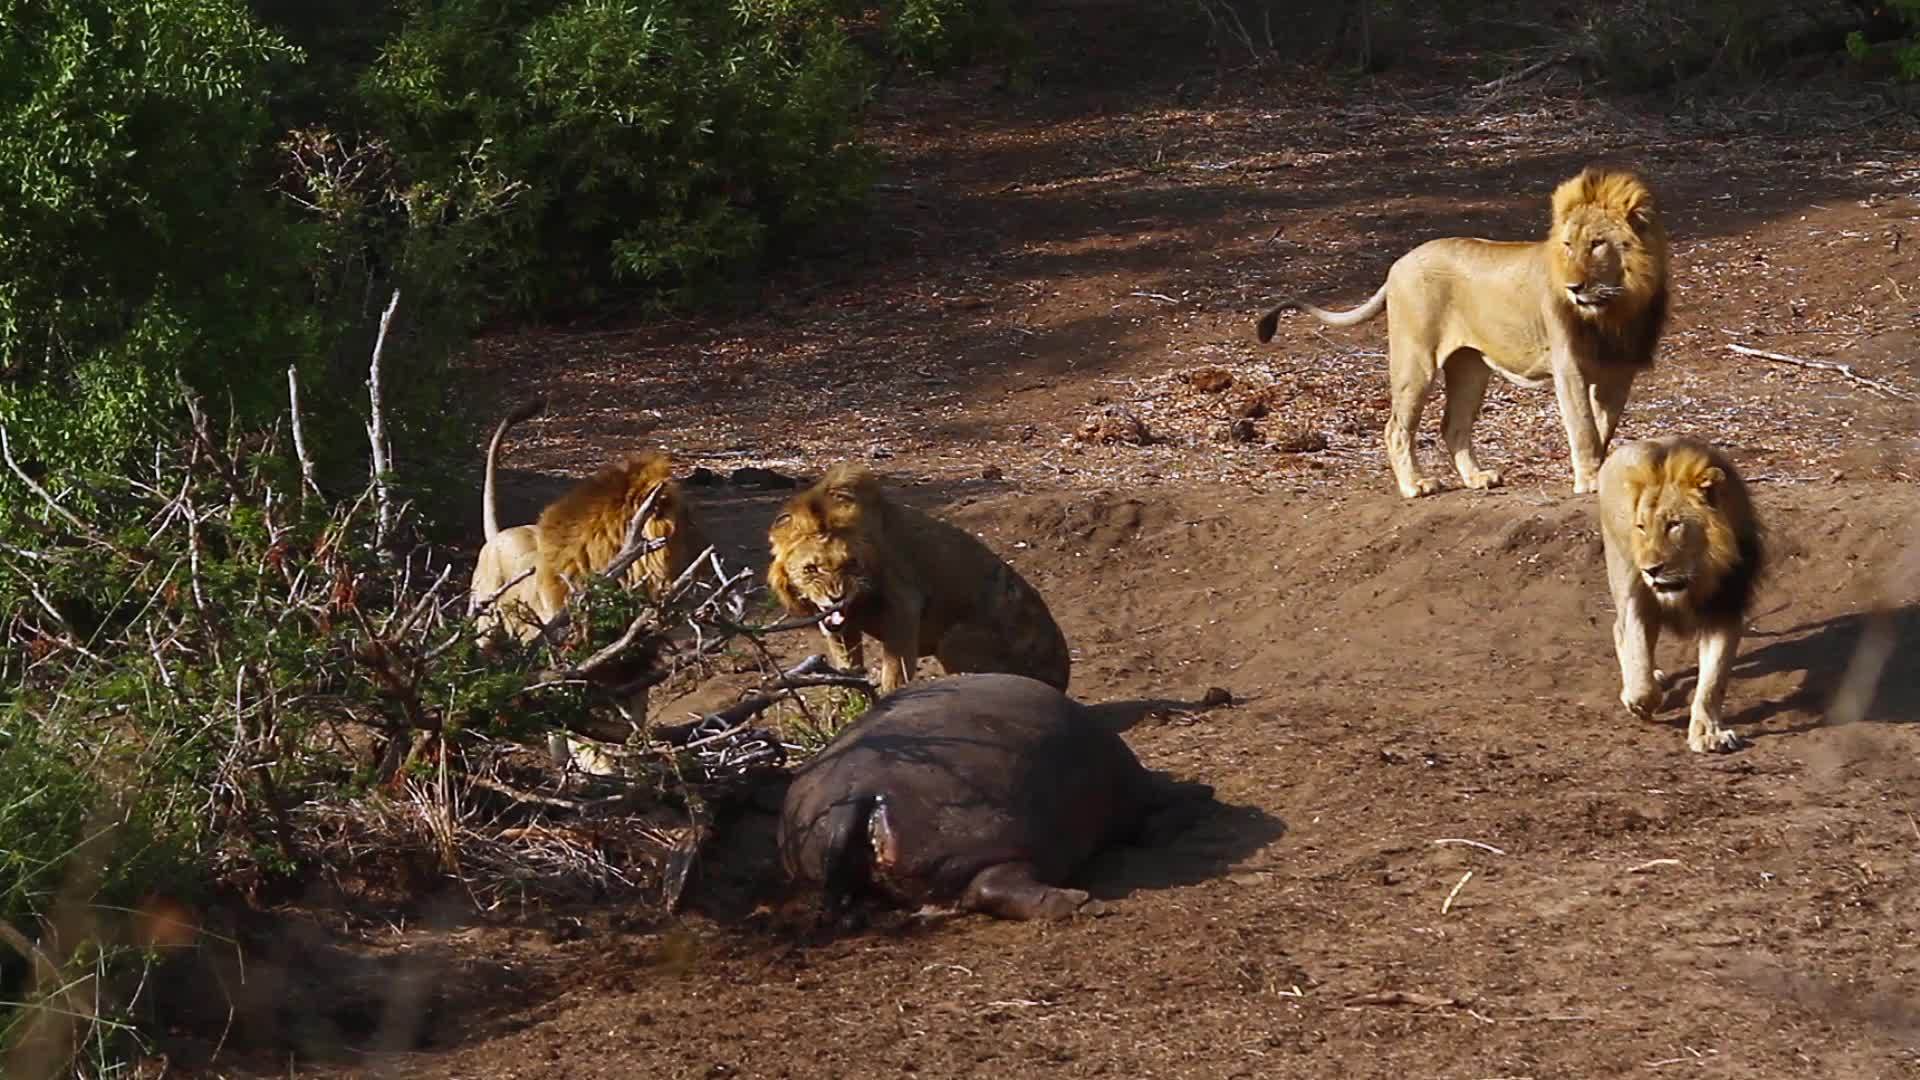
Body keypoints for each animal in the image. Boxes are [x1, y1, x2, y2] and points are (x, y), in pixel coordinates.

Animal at [764, 463, 1075, 687]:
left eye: (851, 564)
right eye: (811, 569)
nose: (836, 597)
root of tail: (1061, 678)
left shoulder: (904, 605)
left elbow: (895, 672)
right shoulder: (841, 628)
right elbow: (846, 669)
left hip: (955, 640)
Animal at [1251, 163, 1674, 495]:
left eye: (1598, 244)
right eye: (1568, 245)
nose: (1573, 287)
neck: (1616, 307)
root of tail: (1398, 264)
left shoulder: (1619, 373)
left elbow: (1603, 430)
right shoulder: (1568, 366)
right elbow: (1584, 428)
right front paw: (1590, 480)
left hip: (1470, 367)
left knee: (1452, 425)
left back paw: (1477, 478)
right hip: (1416, 359)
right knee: (1396, 427)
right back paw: (1415, 485)